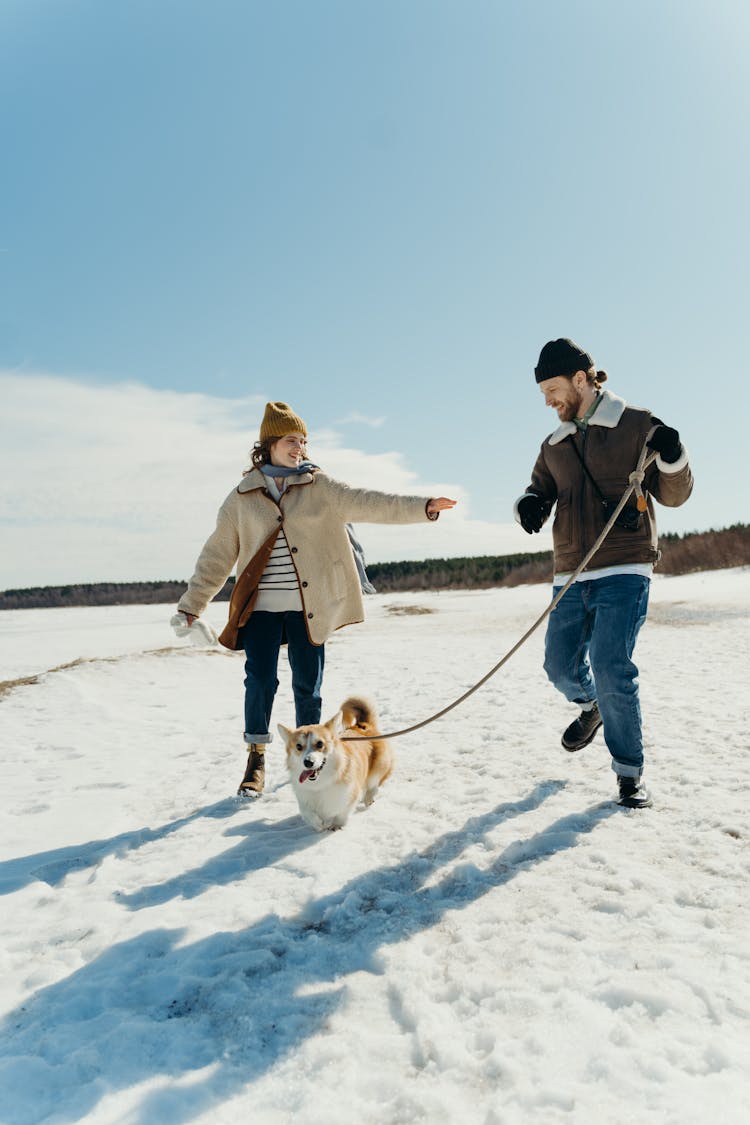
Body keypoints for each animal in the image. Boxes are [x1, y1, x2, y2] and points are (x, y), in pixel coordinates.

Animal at [278, 697, 395, 832]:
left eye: (320, 743)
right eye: (298, 746)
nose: (308, 762)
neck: (320, 783)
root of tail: (363, 725)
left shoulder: (350, 794)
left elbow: (342, 813)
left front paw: (336, 825)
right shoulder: (304, 798)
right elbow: (307, 813)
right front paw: (318, 825)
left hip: (380, 766)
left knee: (374, 784)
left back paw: (368, 798)